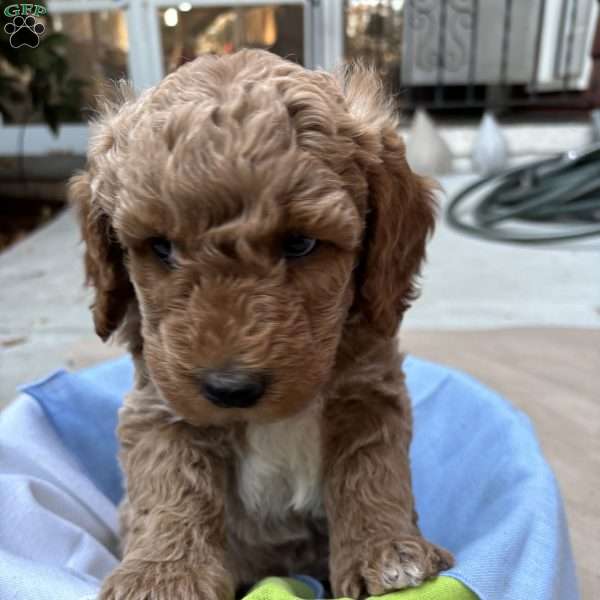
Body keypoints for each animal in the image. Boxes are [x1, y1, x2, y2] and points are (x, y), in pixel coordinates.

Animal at [71, 49, 450, 596]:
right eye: (161, 247)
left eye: (300, 243)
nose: (229, 388)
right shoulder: (161, 406)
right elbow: (171, 487)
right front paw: (163, 574)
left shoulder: (369, 393)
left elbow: (371, 470)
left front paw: (387, 550)